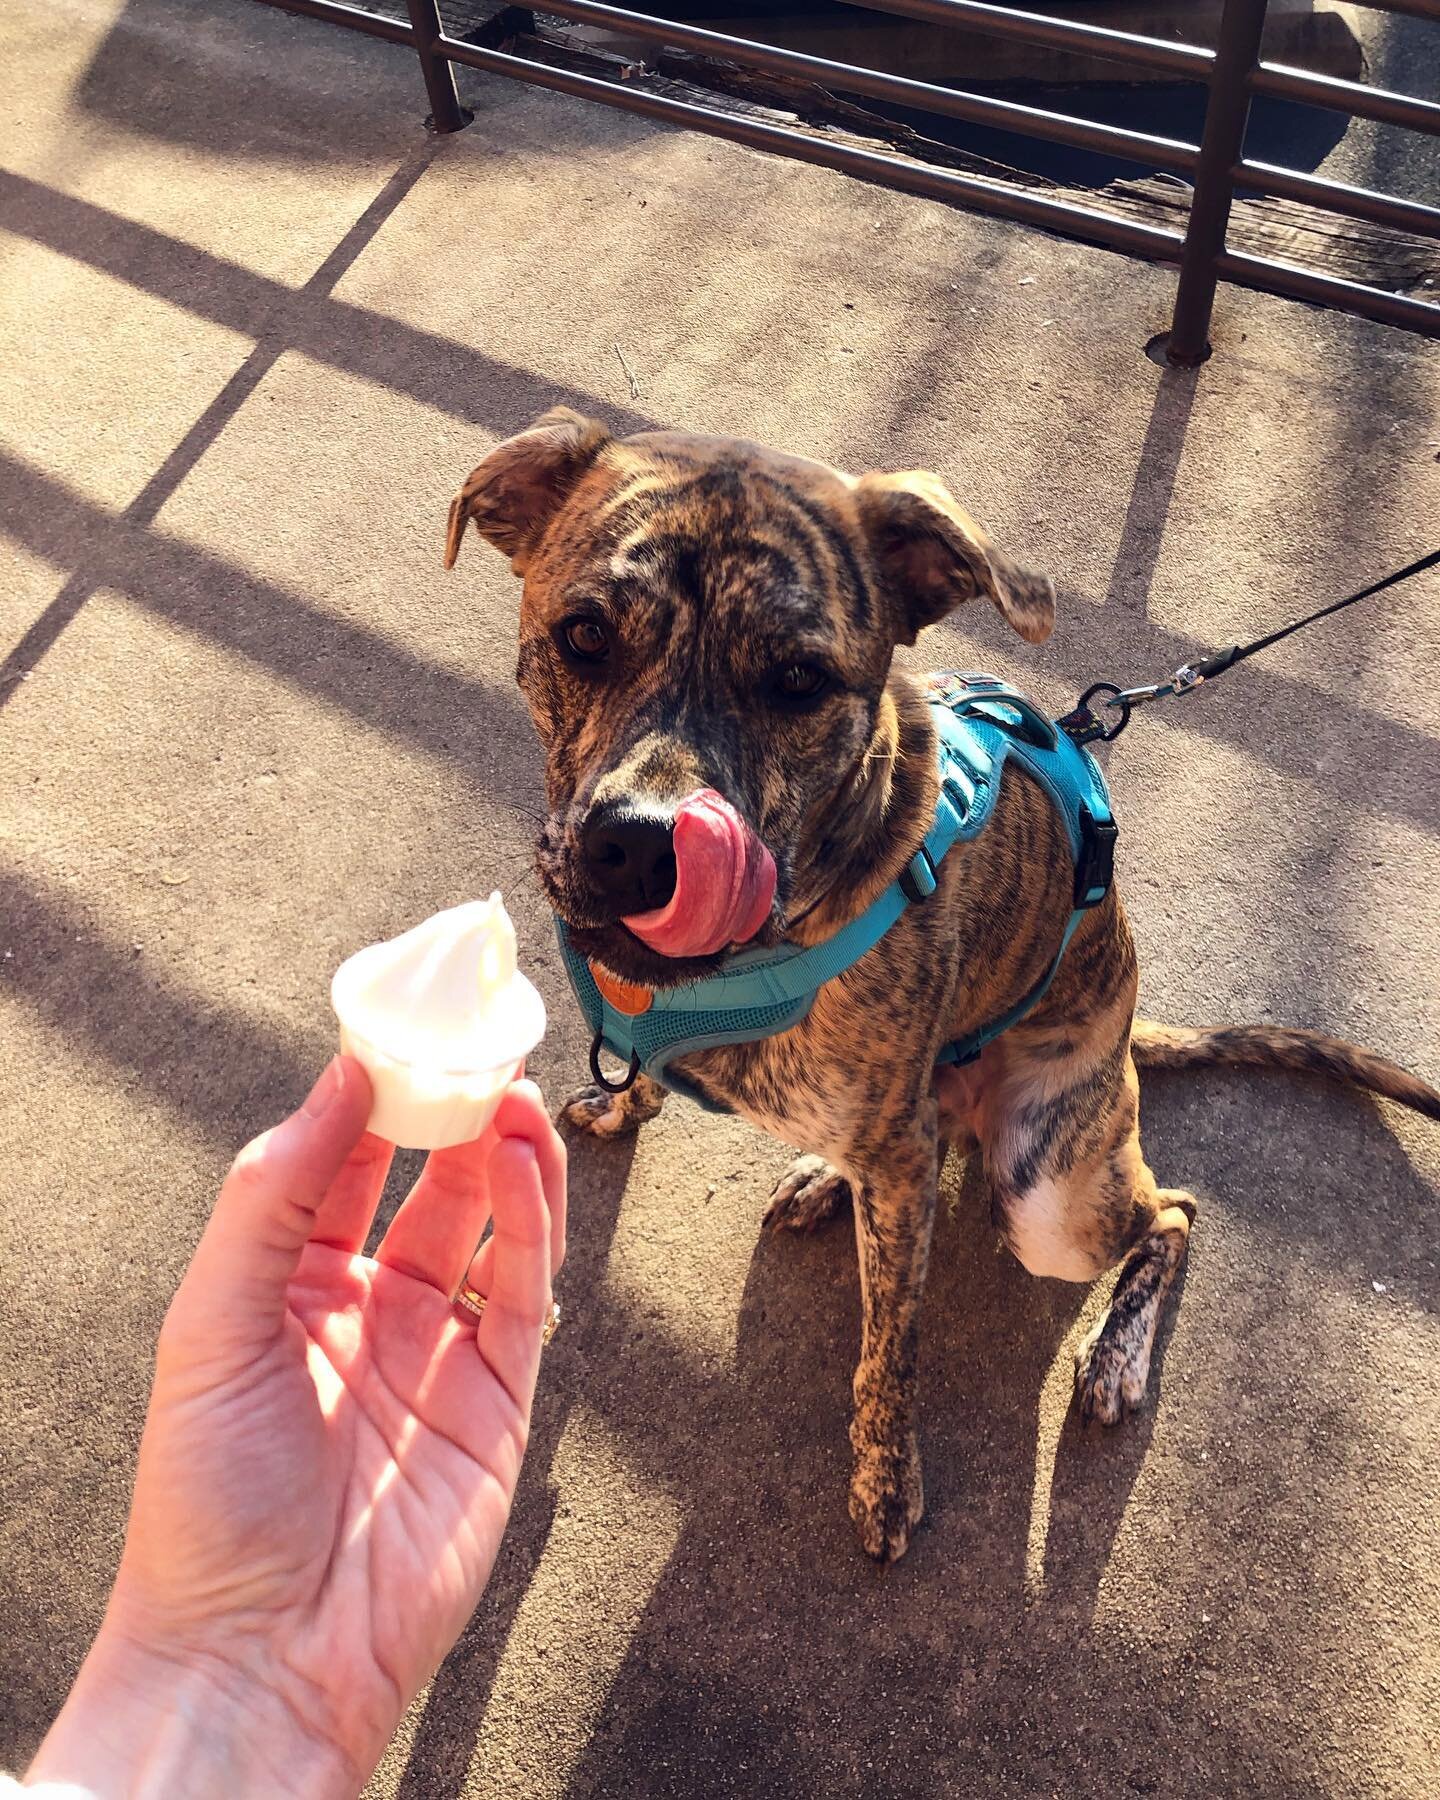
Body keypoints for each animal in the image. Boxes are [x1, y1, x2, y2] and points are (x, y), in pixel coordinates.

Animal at [444, 408, 1432, 1562]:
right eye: (585, 635)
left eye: (800, 681)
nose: (639, 851)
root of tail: (1127, 1037)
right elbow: (646, 1081)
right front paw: (619, 1103)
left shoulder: (915, 1196)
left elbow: (888, 1354)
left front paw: (885, 1477)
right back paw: (827, 1179)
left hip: (1051, 1194)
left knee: (1173, 1212)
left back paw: (1114, 1359)